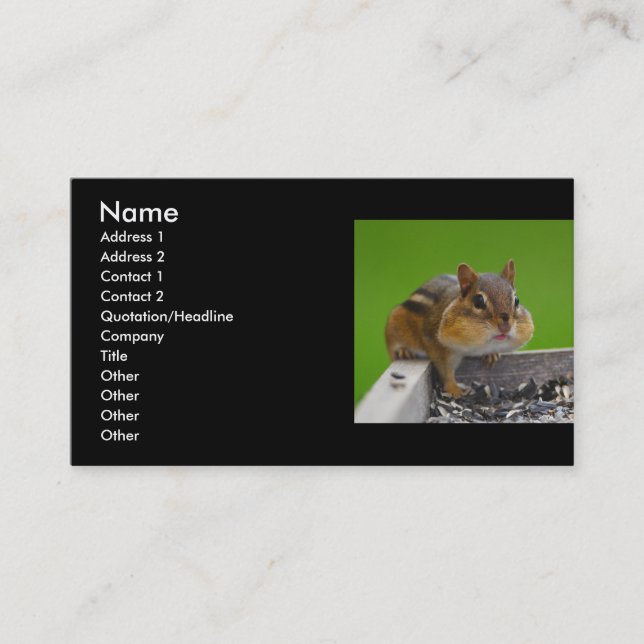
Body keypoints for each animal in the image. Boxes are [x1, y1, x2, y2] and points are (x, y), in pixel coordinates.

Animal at [385, 259, 534, 398]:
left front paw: (492, 355)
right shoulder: (435, 343)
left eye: (517, 300)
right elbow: (446, 370)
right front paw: (454, 389)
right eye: (479, 301)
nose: (505, 326)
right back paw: (404, 351)